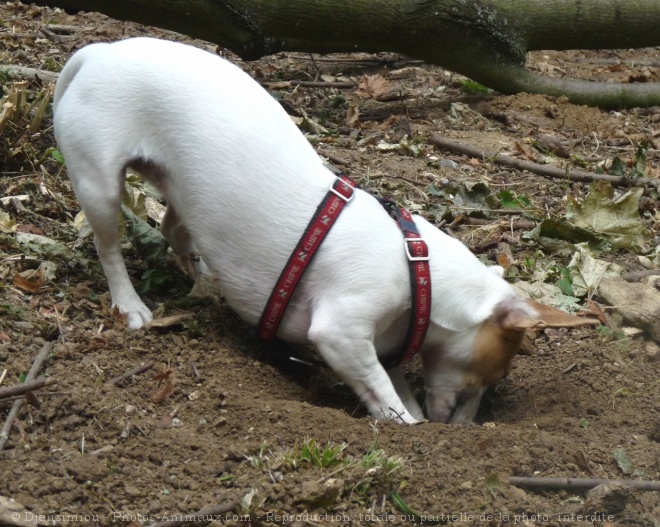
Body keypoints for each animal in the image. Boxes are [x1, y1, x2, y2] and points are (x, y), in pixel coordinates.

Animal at [52, 37, 600, 424]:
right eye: (492, 373)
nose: (463, 430)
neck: (417, 264)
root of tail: (99, 52)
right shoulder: (342, 334)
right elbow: (387, 398)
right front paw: (408, 426)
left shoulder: (386, 340)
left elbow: (396, 384)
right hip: (99, 184)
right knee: (108, 247)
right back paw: (131, 305)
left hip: (179, 191)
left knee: (173, 229)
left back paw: (201, 278)